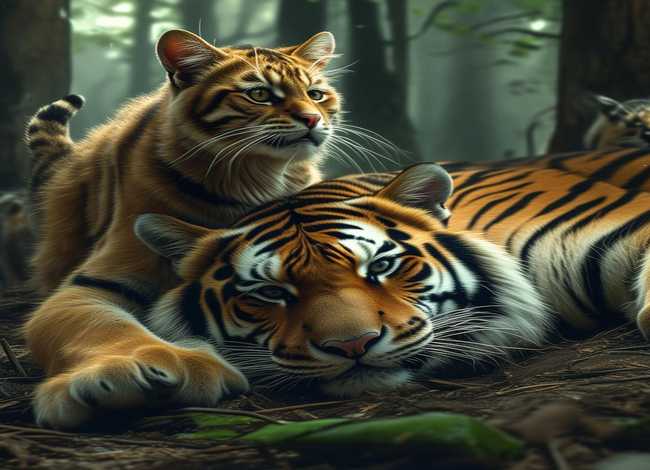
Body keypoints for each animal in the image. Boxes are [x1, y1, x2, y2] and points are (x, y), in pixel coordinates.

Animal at [23, 29, 342, 428]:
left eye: (316, 94)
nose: (313, 119)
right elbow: (104, 326)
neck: (256, 179)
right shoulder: (90, 284)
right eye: (259, 94)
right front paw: (134, 369)